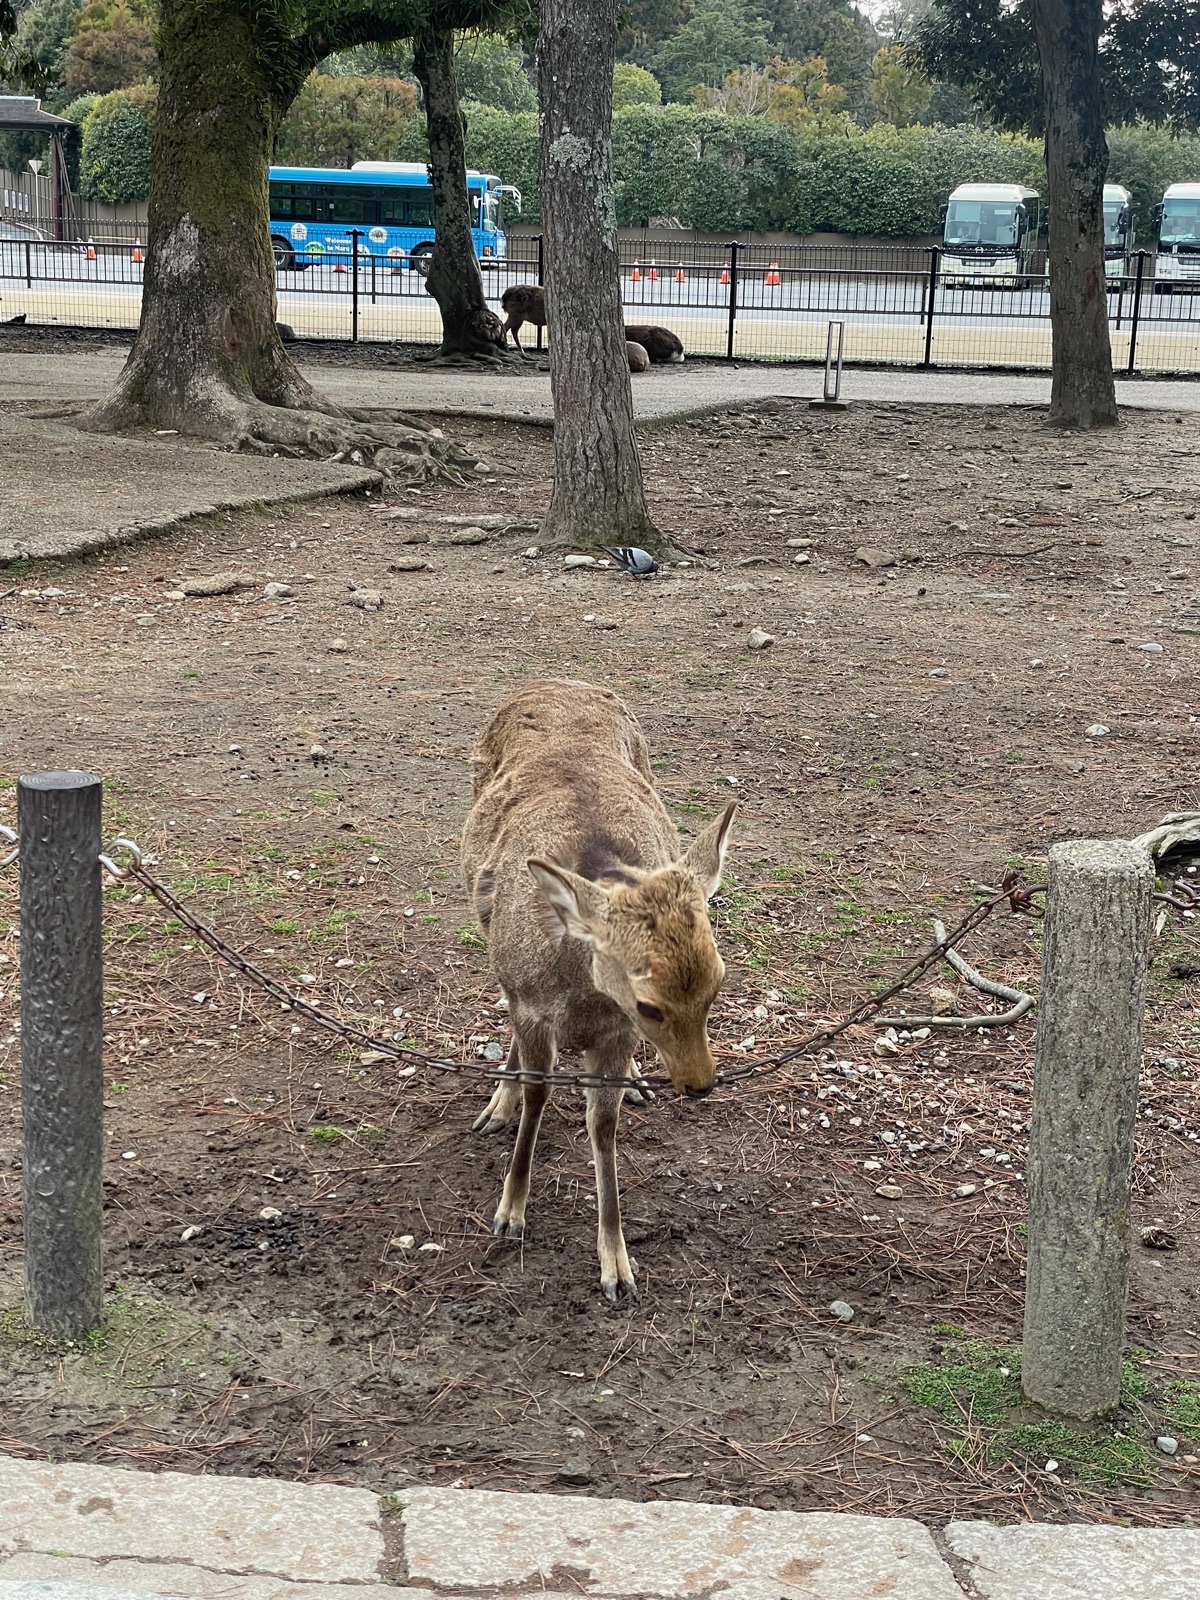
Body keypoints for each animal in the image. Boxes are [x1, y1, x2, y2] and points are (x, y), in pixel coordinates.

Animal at [461, 679, 735, 1301]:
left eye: (717, 984)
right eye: (650, 1005)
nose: (700, 1085)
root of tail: (557, 680)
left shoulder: (614, 1032)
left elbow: (602, 1126)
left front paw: (618, 1265)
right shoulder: (533, 1006)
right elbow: (538, 1093)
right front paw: (510, 1213)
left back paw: (636, 1081)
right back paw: (497, 1104)